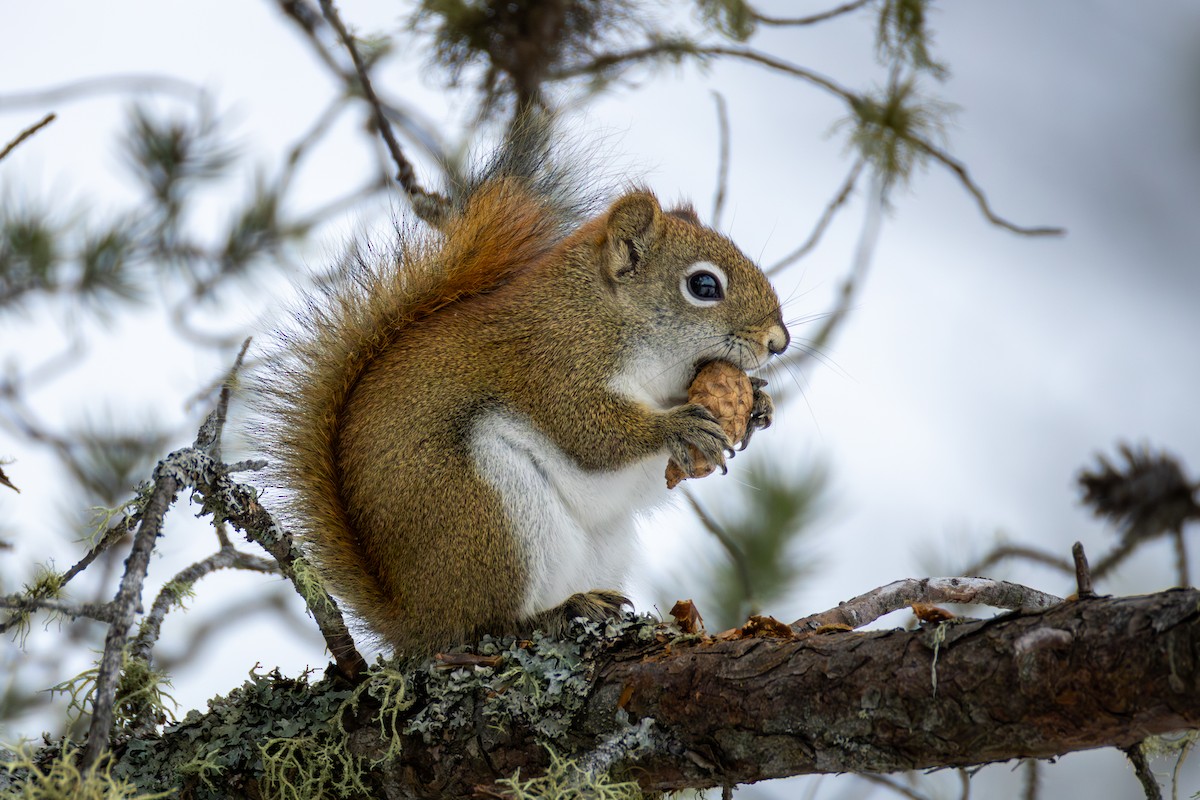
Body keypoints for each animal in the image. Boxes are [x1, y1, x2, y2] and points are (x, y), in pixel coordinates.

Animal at [261, 137, 790, 656]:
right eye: (704, 285)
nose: (778, 342)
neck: (603, 313)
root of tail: (416, 621)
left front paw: (757, 404)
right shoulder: (552, 365)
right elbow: (591, 432)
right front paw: (677, 425)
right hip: (490, 514)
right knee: (485, 624)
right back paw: (558, 612)